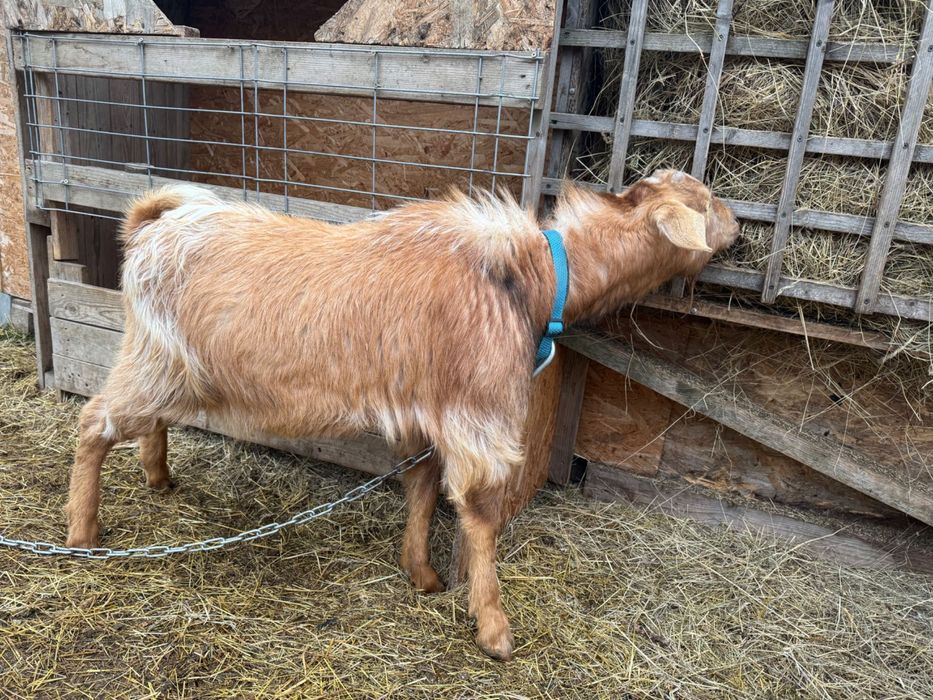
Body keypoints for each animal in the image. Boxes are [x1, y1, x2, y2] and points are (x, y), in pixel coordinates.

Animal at [65, 169, 739, 660]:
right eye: (705, 202)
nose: (736, 224)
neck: (530, 276)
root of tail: (150, 228)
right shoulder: (477, 413)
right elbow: (479, 512)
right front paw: (493, 626)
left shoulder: (426, 410)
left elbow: (420, 484)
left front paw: (422, 574)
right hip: (153, 359)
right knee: (95, 422)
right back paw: (83, 533)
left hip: (169, 365)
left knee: (147, 421)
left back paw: (157, 477)